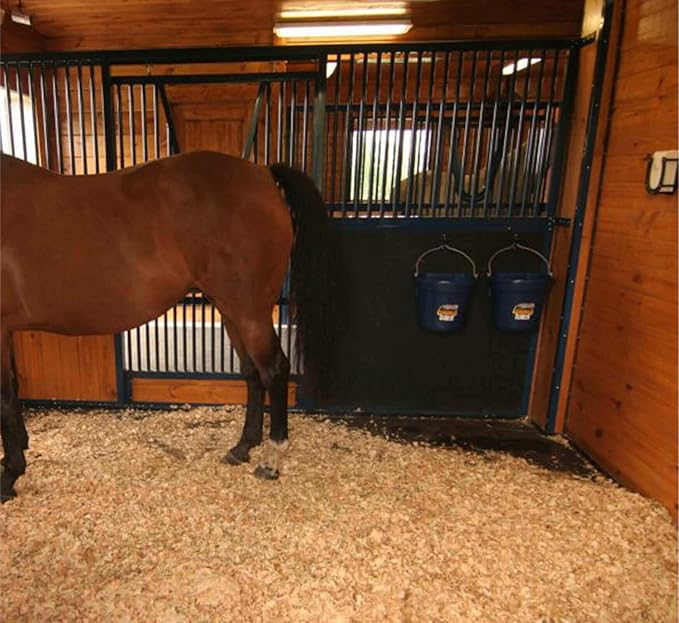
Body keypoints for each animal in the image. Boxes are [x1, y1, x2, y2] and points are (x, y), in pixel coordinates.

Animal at [0, 150, 335, 501]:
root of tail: (262, 174)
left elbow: (5, 399)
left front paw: (9, 474)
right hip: (231, 309)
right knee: (252, 372)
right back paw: (243, 447)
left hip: (250, 312)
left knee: (274, 370)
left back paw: (272, 460)